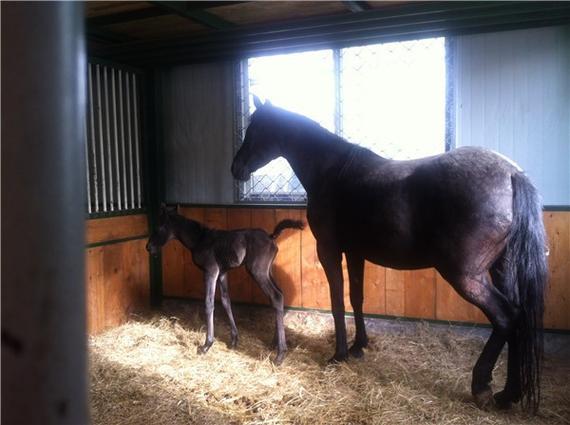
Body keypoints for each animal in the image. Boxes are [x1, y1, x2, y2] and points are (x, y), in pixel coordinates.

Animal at [149, 205, 304, 364]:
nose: (149, 247)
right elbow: (226, 301)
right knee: (279, 295)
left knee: (276, 296)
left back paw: (280, 354)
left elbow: (209, 303)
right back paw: (274, 343)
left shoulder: (211, 271)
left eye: (159, 228)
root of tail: (271, 237)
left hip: (258, 271)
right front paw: (234, 340)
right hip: (267, 271)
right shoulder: (222, 272)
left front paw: (206, 345)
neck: (200, 239)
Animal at [231, 97, 544, 410]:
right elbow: (356, 298)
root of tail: (510, 174)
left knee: (506, 317)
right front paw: (359, 346)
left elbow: (337, 300)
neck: (332, 171)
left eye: (255, 129)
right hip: (501, 269)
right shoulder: (355, 252)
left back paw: (482, 386)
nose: (236, 168)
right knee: (519, 316)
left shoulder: (329, 250)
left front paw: (339, 354)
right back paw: (509, 394)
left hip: (466, 276)